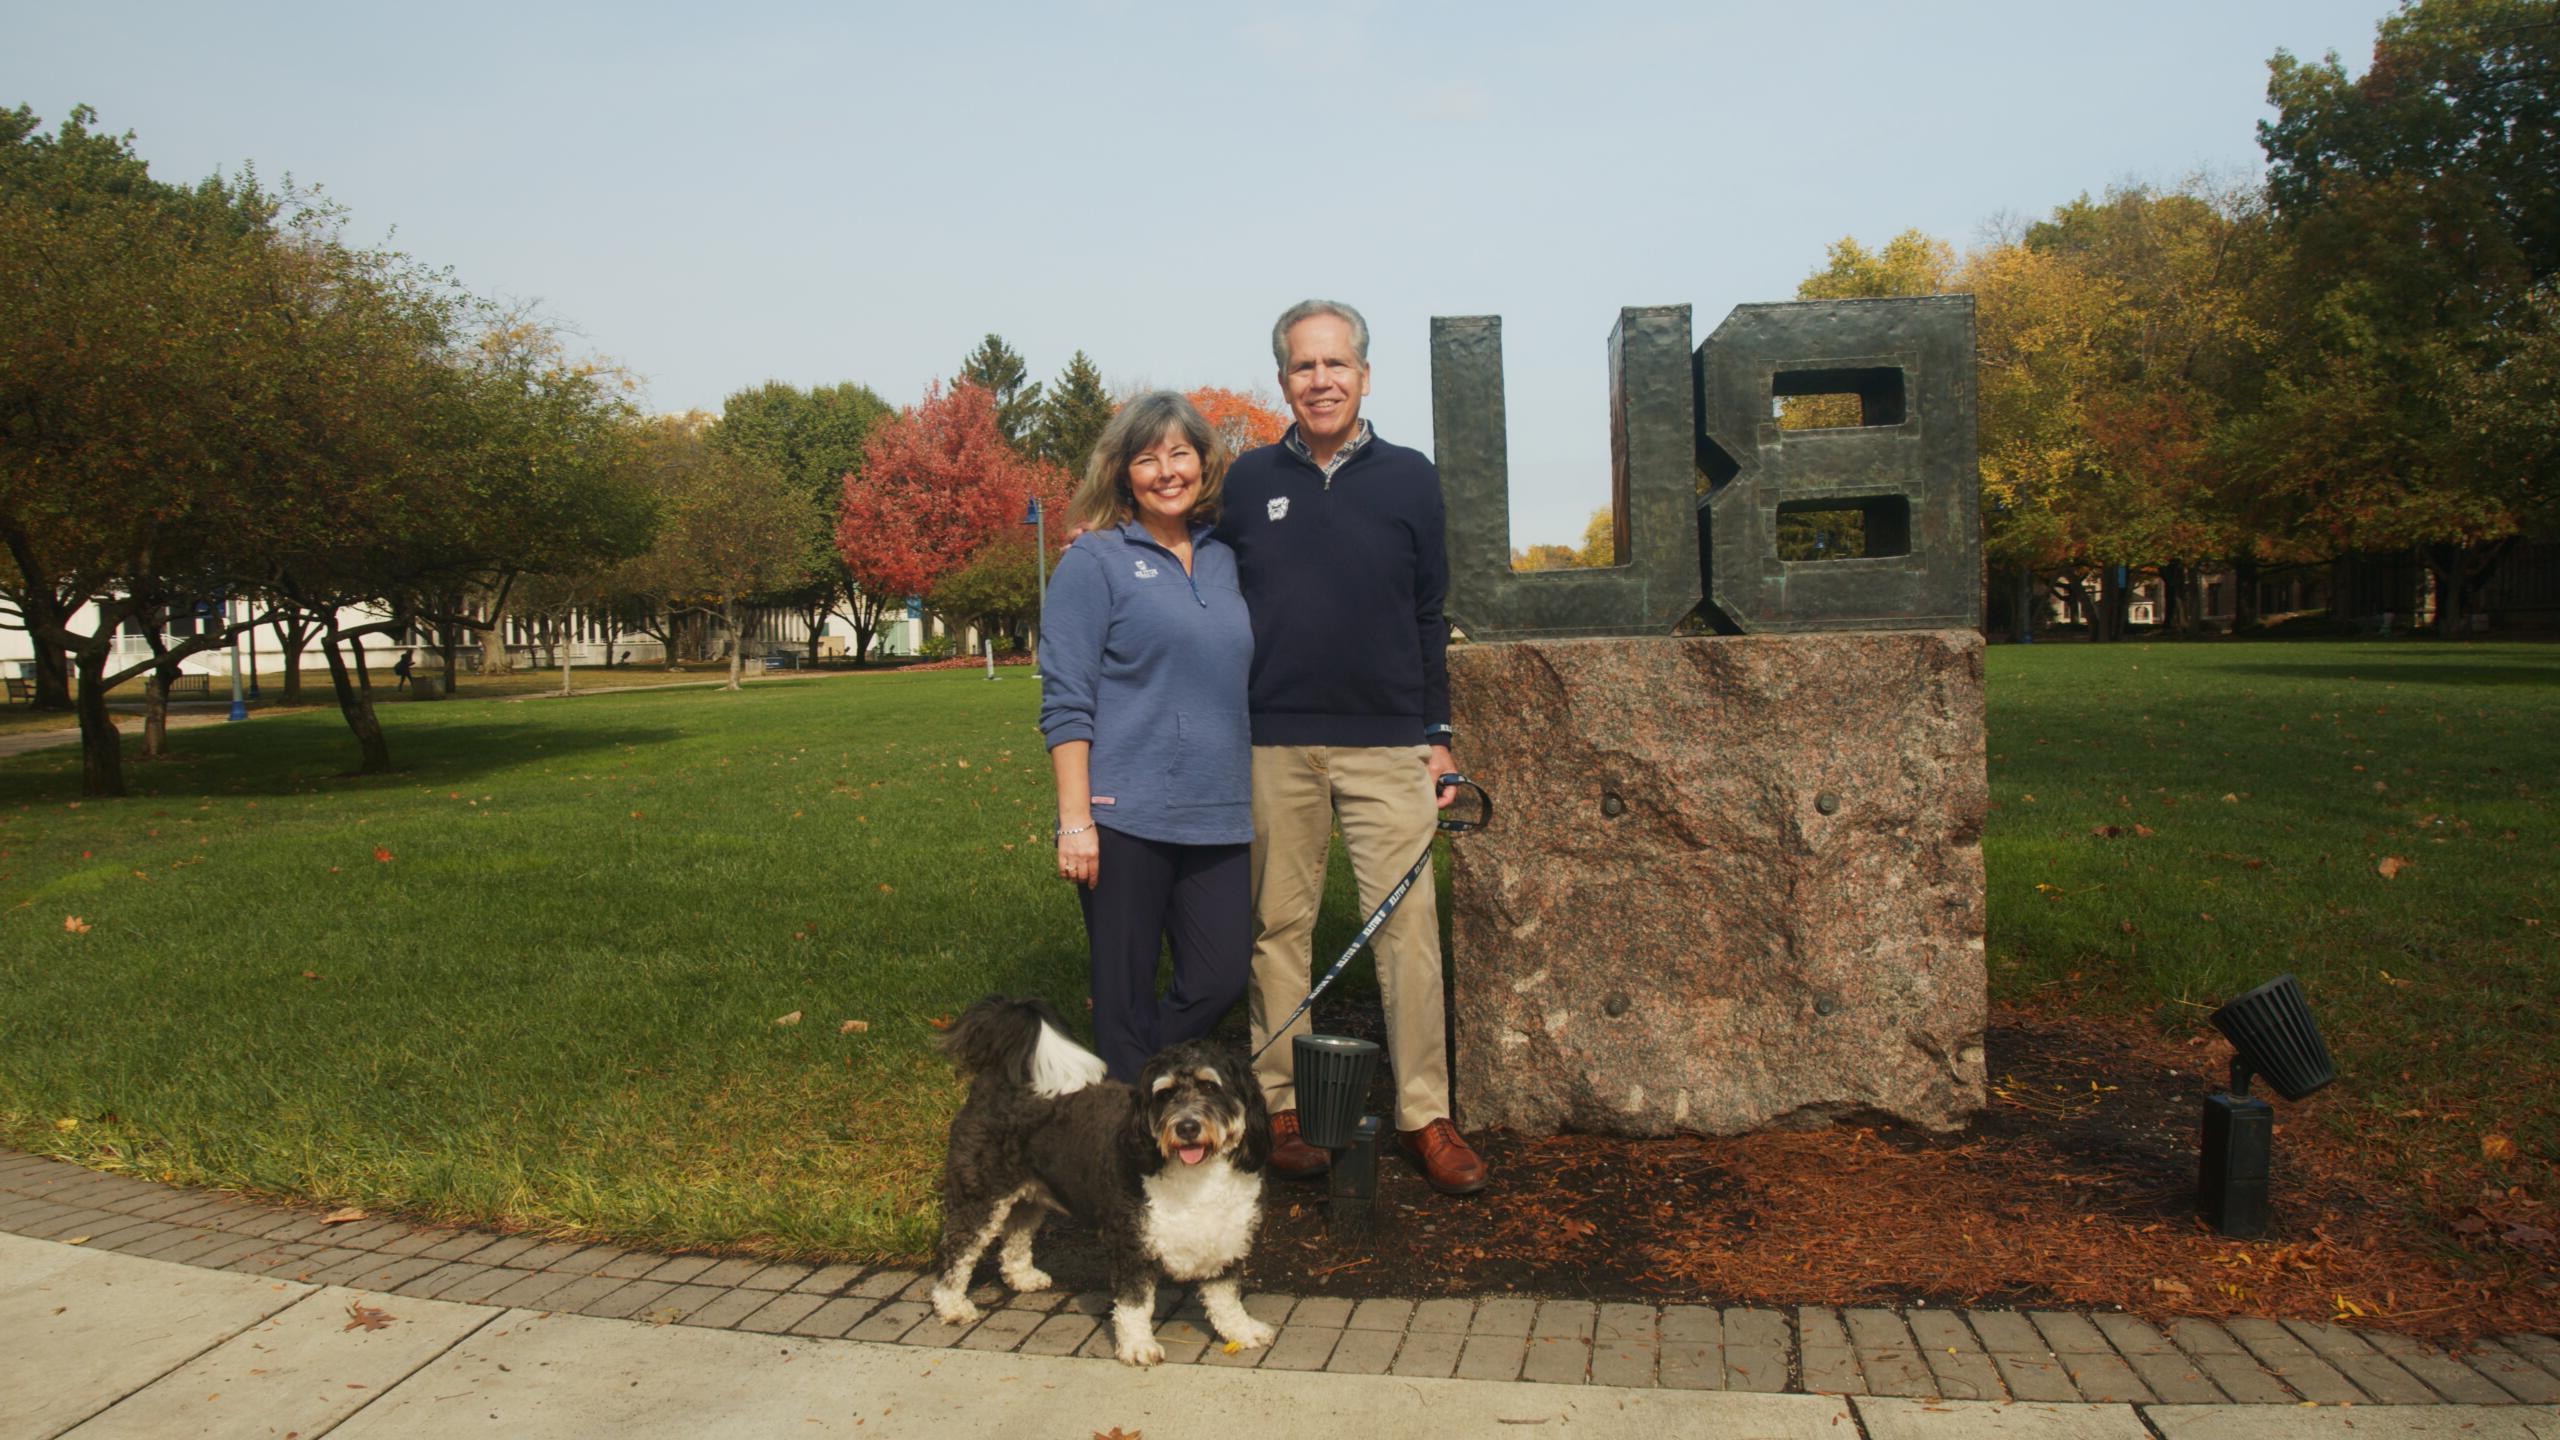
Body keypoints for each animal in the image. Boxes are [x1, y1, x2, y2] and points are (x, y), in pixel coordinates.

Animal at [931, 994, 1280, 1363]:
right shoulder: (1131, 1244)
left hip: (1028, 1195)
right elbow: (1134, 1305)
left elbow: (1225, 1298)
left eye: (1211, 1086)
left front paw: (1242, 1331)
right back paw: (952, 1305)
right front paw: (1138, 1345)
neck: (1196, 1179)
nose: (1187, 1127)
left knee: (1016, 1235)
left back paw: (1022, 1276)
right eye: (1164, 1094)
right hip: (980, 1196)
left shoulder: (1226, 1238)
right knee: (958, 1251)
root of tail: (998, 1078)